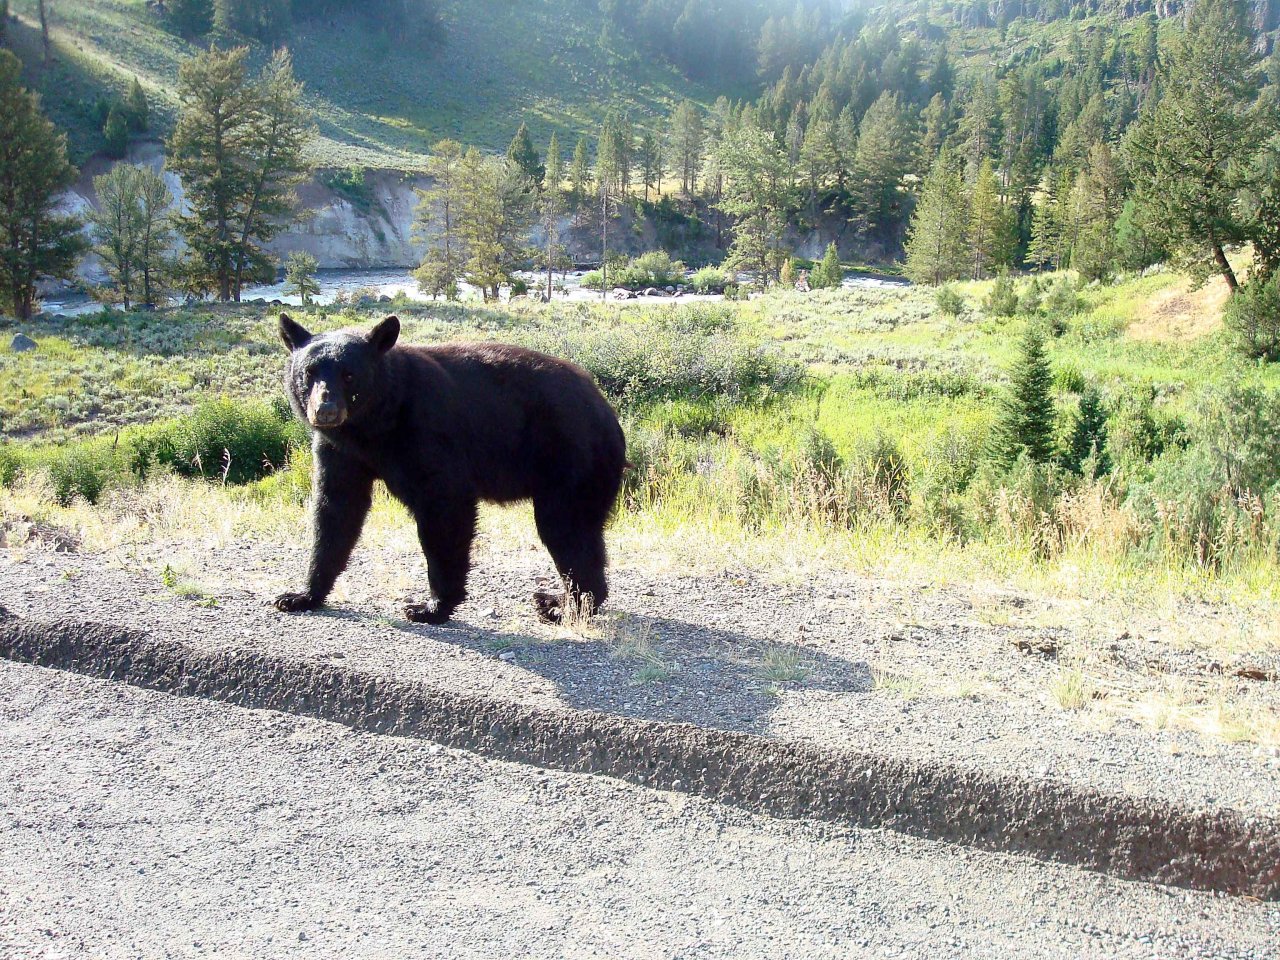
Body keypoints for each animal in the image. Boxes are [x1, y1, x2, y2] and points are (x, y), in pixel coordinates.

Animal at [273, 313, 627, 625]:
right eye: (309, 373)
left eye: (349, 375)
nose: (326, 410)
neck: (373, 426)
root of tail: (607, 412)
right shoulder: (340, 451)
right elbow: (336, 509)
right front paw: (300, 595)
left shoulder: (427, 432)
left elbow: (444, 507)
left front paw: (430, 607)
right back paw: (555, 600)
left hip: (572, 460)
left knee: (566, 529)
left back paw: (566, 609)